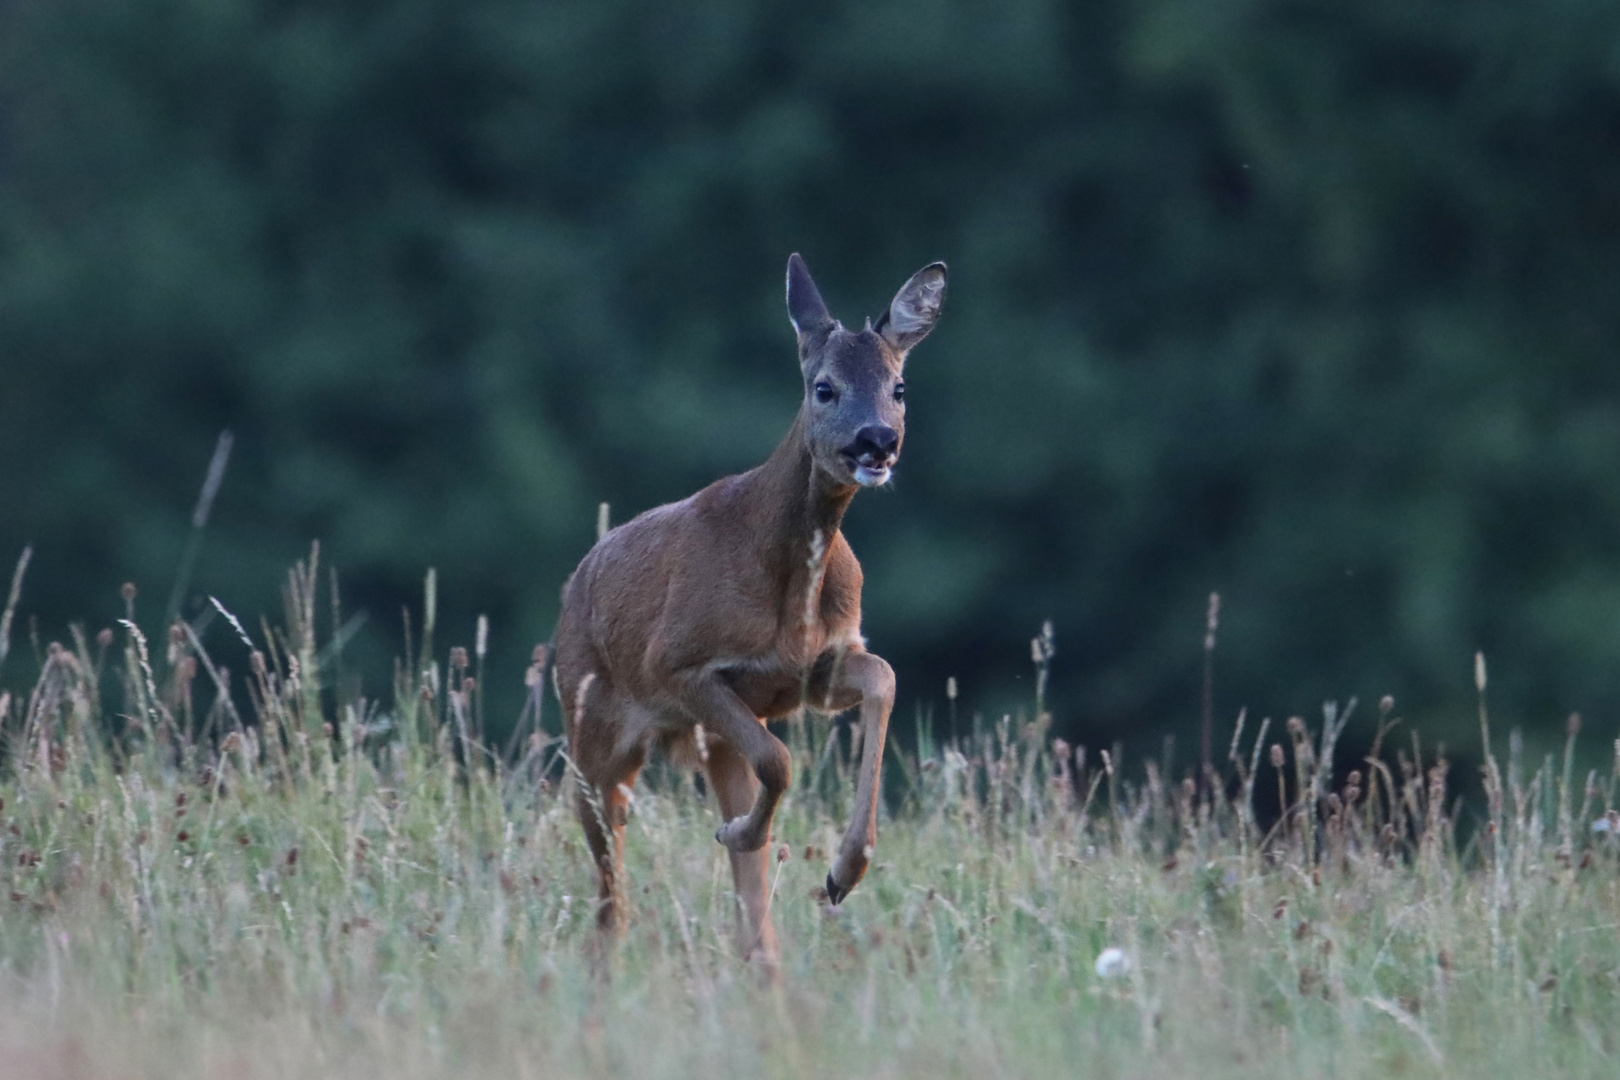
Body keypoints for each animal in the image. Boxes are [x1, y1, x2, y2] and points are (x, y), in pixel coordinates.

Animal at [554, 250, 946, 965]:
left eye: (899, 388)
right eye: (823, 387)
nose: (877, 440)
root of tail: (577, 581)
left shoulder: (817, 669)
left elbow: (882, 679)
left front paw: (842, 873)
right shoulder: (679, 664)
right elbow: (780, 760)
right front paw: (744, 835)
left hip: (702, 740)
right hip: (592, 721)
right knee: (606, 862)